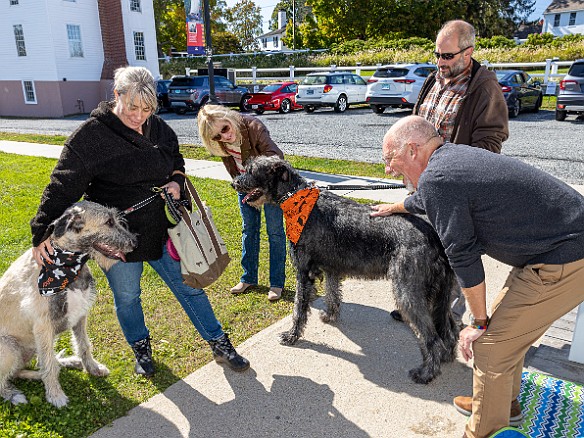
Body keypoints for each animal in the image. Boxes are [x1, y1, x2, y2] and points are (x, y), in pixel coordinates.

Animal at [232, 156, 456, 382]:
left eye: (252, 170)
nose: (234, 183)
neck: (295, 198)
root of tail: (434, 235)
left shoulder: (304, 273)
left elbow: (299, 308)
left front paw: (292, 335)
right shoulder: (332, 269)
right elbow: (332, 294)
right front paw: (330, 316)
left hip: (408, 292)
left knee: (432, 337)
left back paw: (427, 372)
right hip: (439, 292)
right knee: (448, 328)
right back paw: (447, 355)